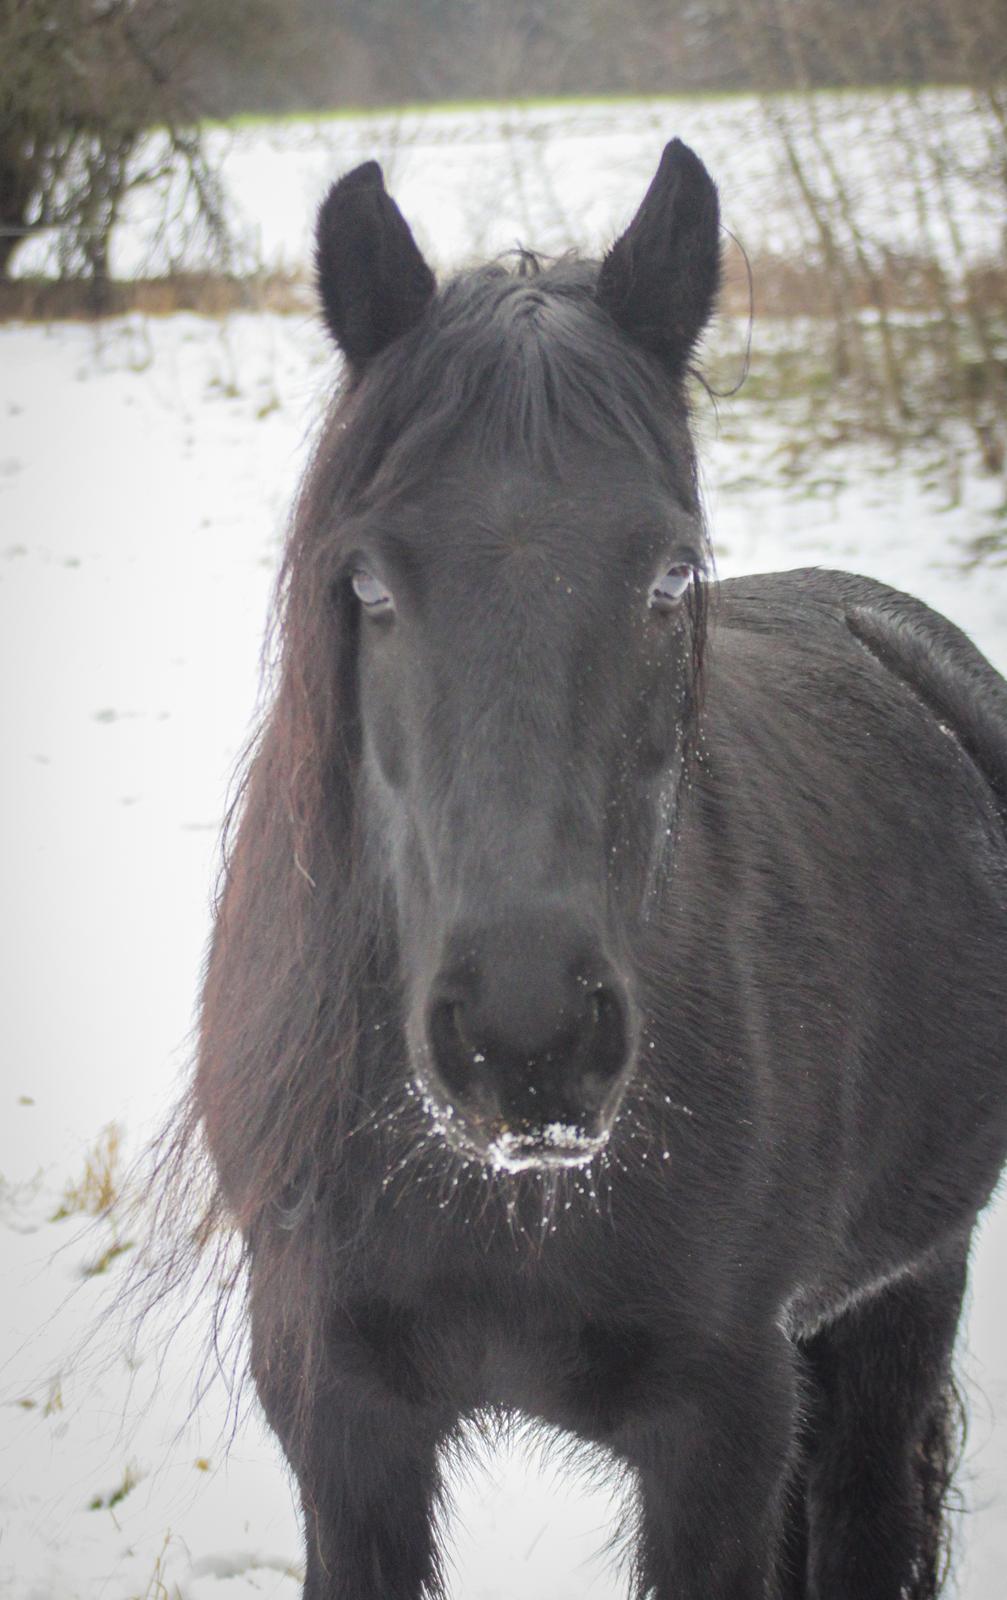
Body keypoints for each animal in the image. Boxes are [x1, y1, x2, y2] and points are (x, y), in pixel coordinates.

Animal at [188, 142, 1007, 1598]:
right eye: (370, 584)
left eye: (670, 575)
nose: (526, 1039)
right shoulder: (341, 1424)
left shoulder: (718, 1432)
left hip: (907, 1290)